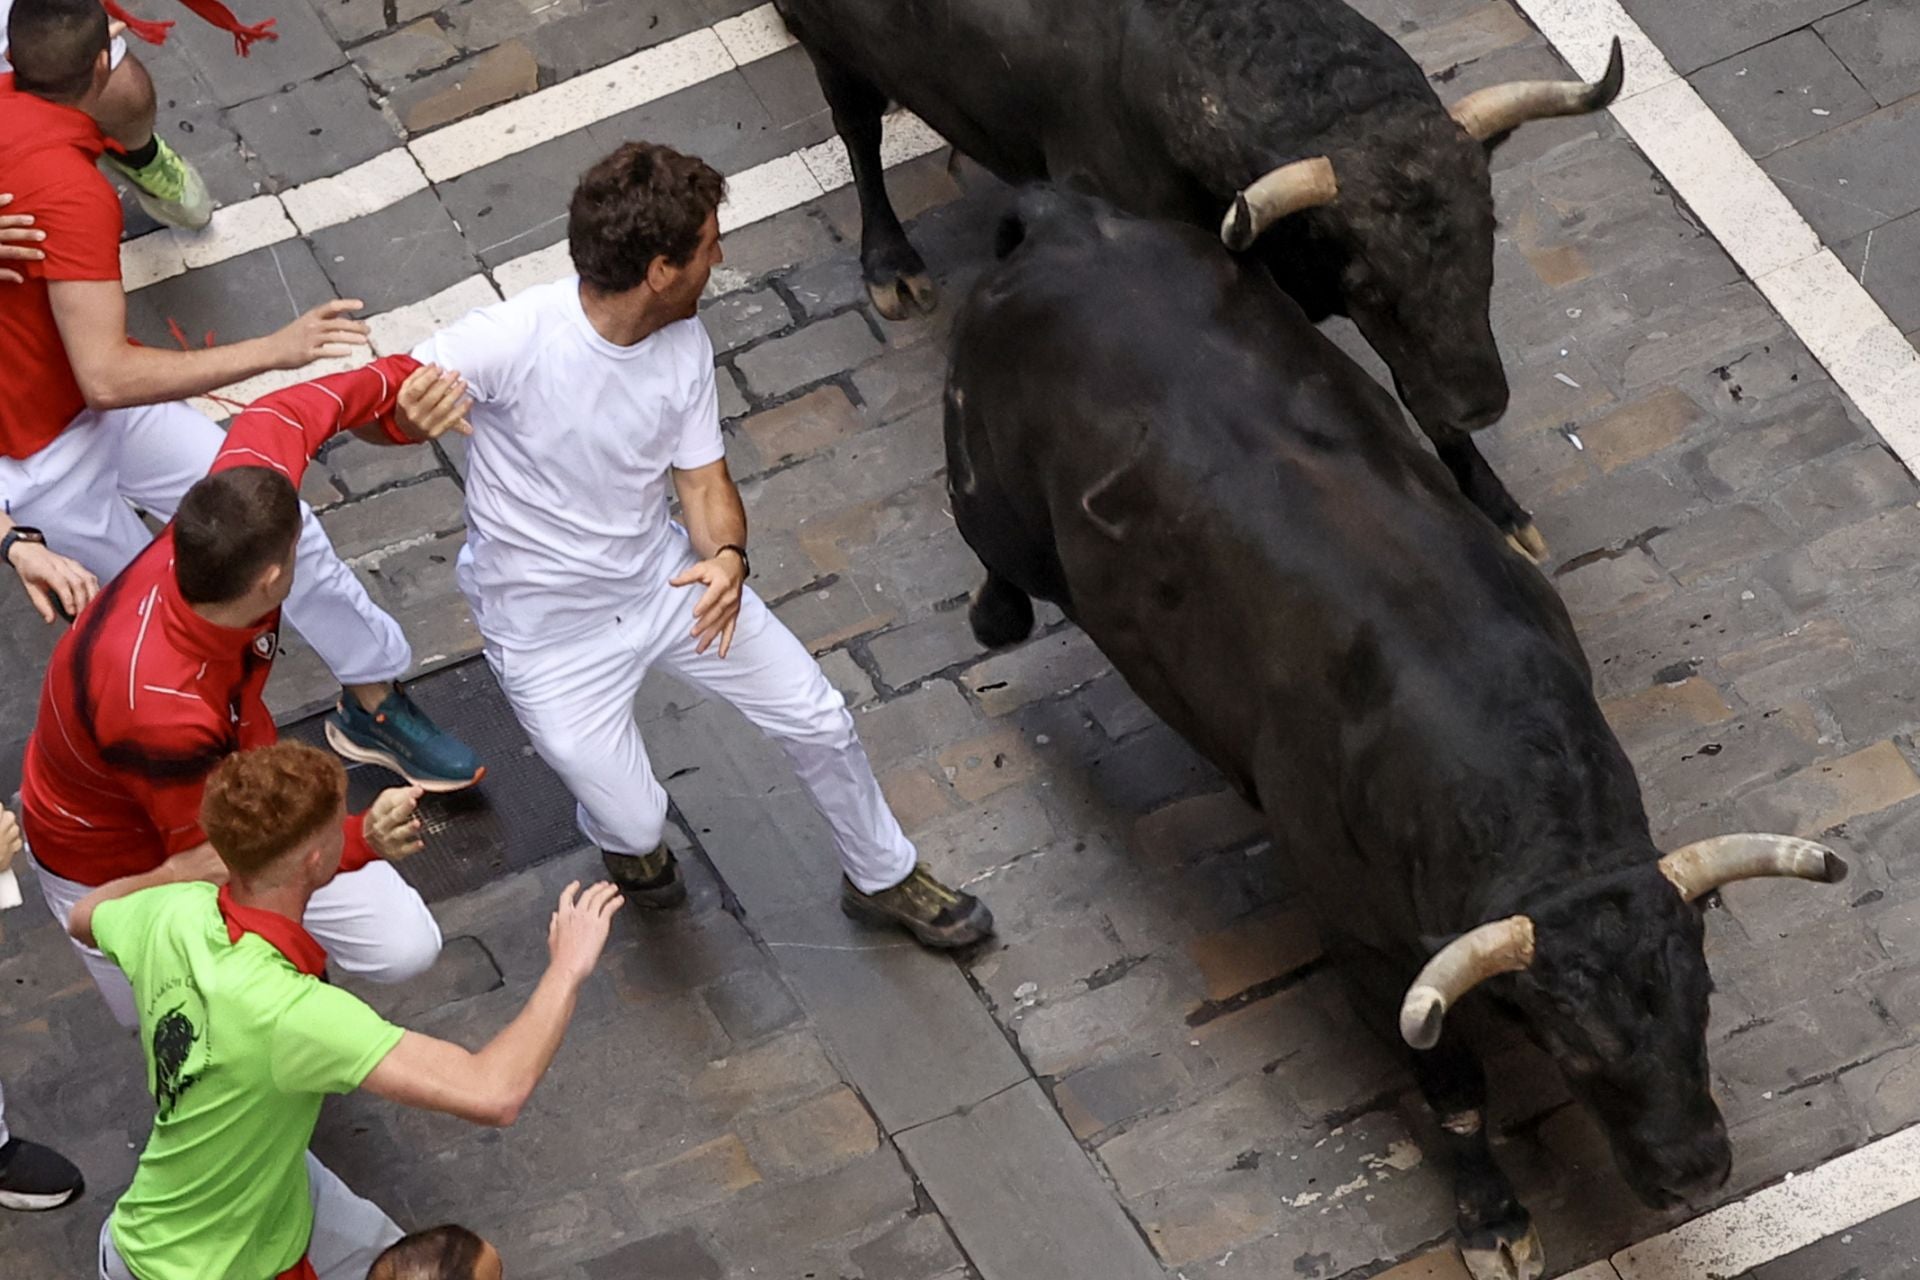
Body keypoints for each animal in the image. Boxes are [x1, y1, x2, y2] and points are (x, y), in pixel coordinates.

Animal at [771, 0, 1628, 556]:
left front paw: (1500, 509)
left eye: (1488, 241)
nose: (1482, 403)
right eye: (1370, 284)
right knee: (857, 129)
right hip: (831, 48)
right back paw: (891, 264)